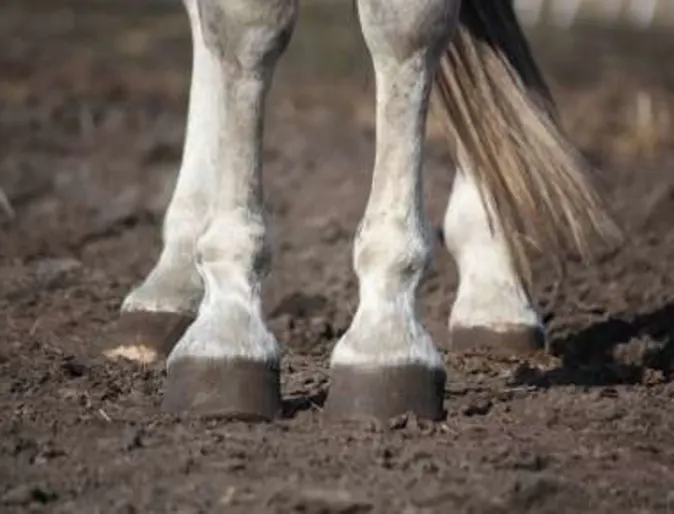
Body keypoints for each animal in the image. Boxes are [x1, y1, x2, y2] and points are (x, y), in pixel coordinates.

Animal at [101, 0, 619, 422]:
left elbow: (404, 27)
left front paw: (384, 341)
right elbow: (239, 24)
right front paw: (226, 328)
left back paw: (495, 283)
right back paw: (173, 276)